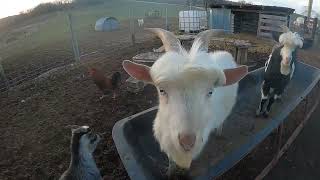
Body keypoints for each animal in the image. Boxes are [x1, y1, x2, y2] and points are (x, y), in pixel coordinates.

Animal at [122, 28, 248, 176]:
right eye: (161, 90)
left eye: (210, 92)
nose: (187, 143)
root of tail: (225, 53)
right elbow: (170, 161)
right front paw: (169, 172)